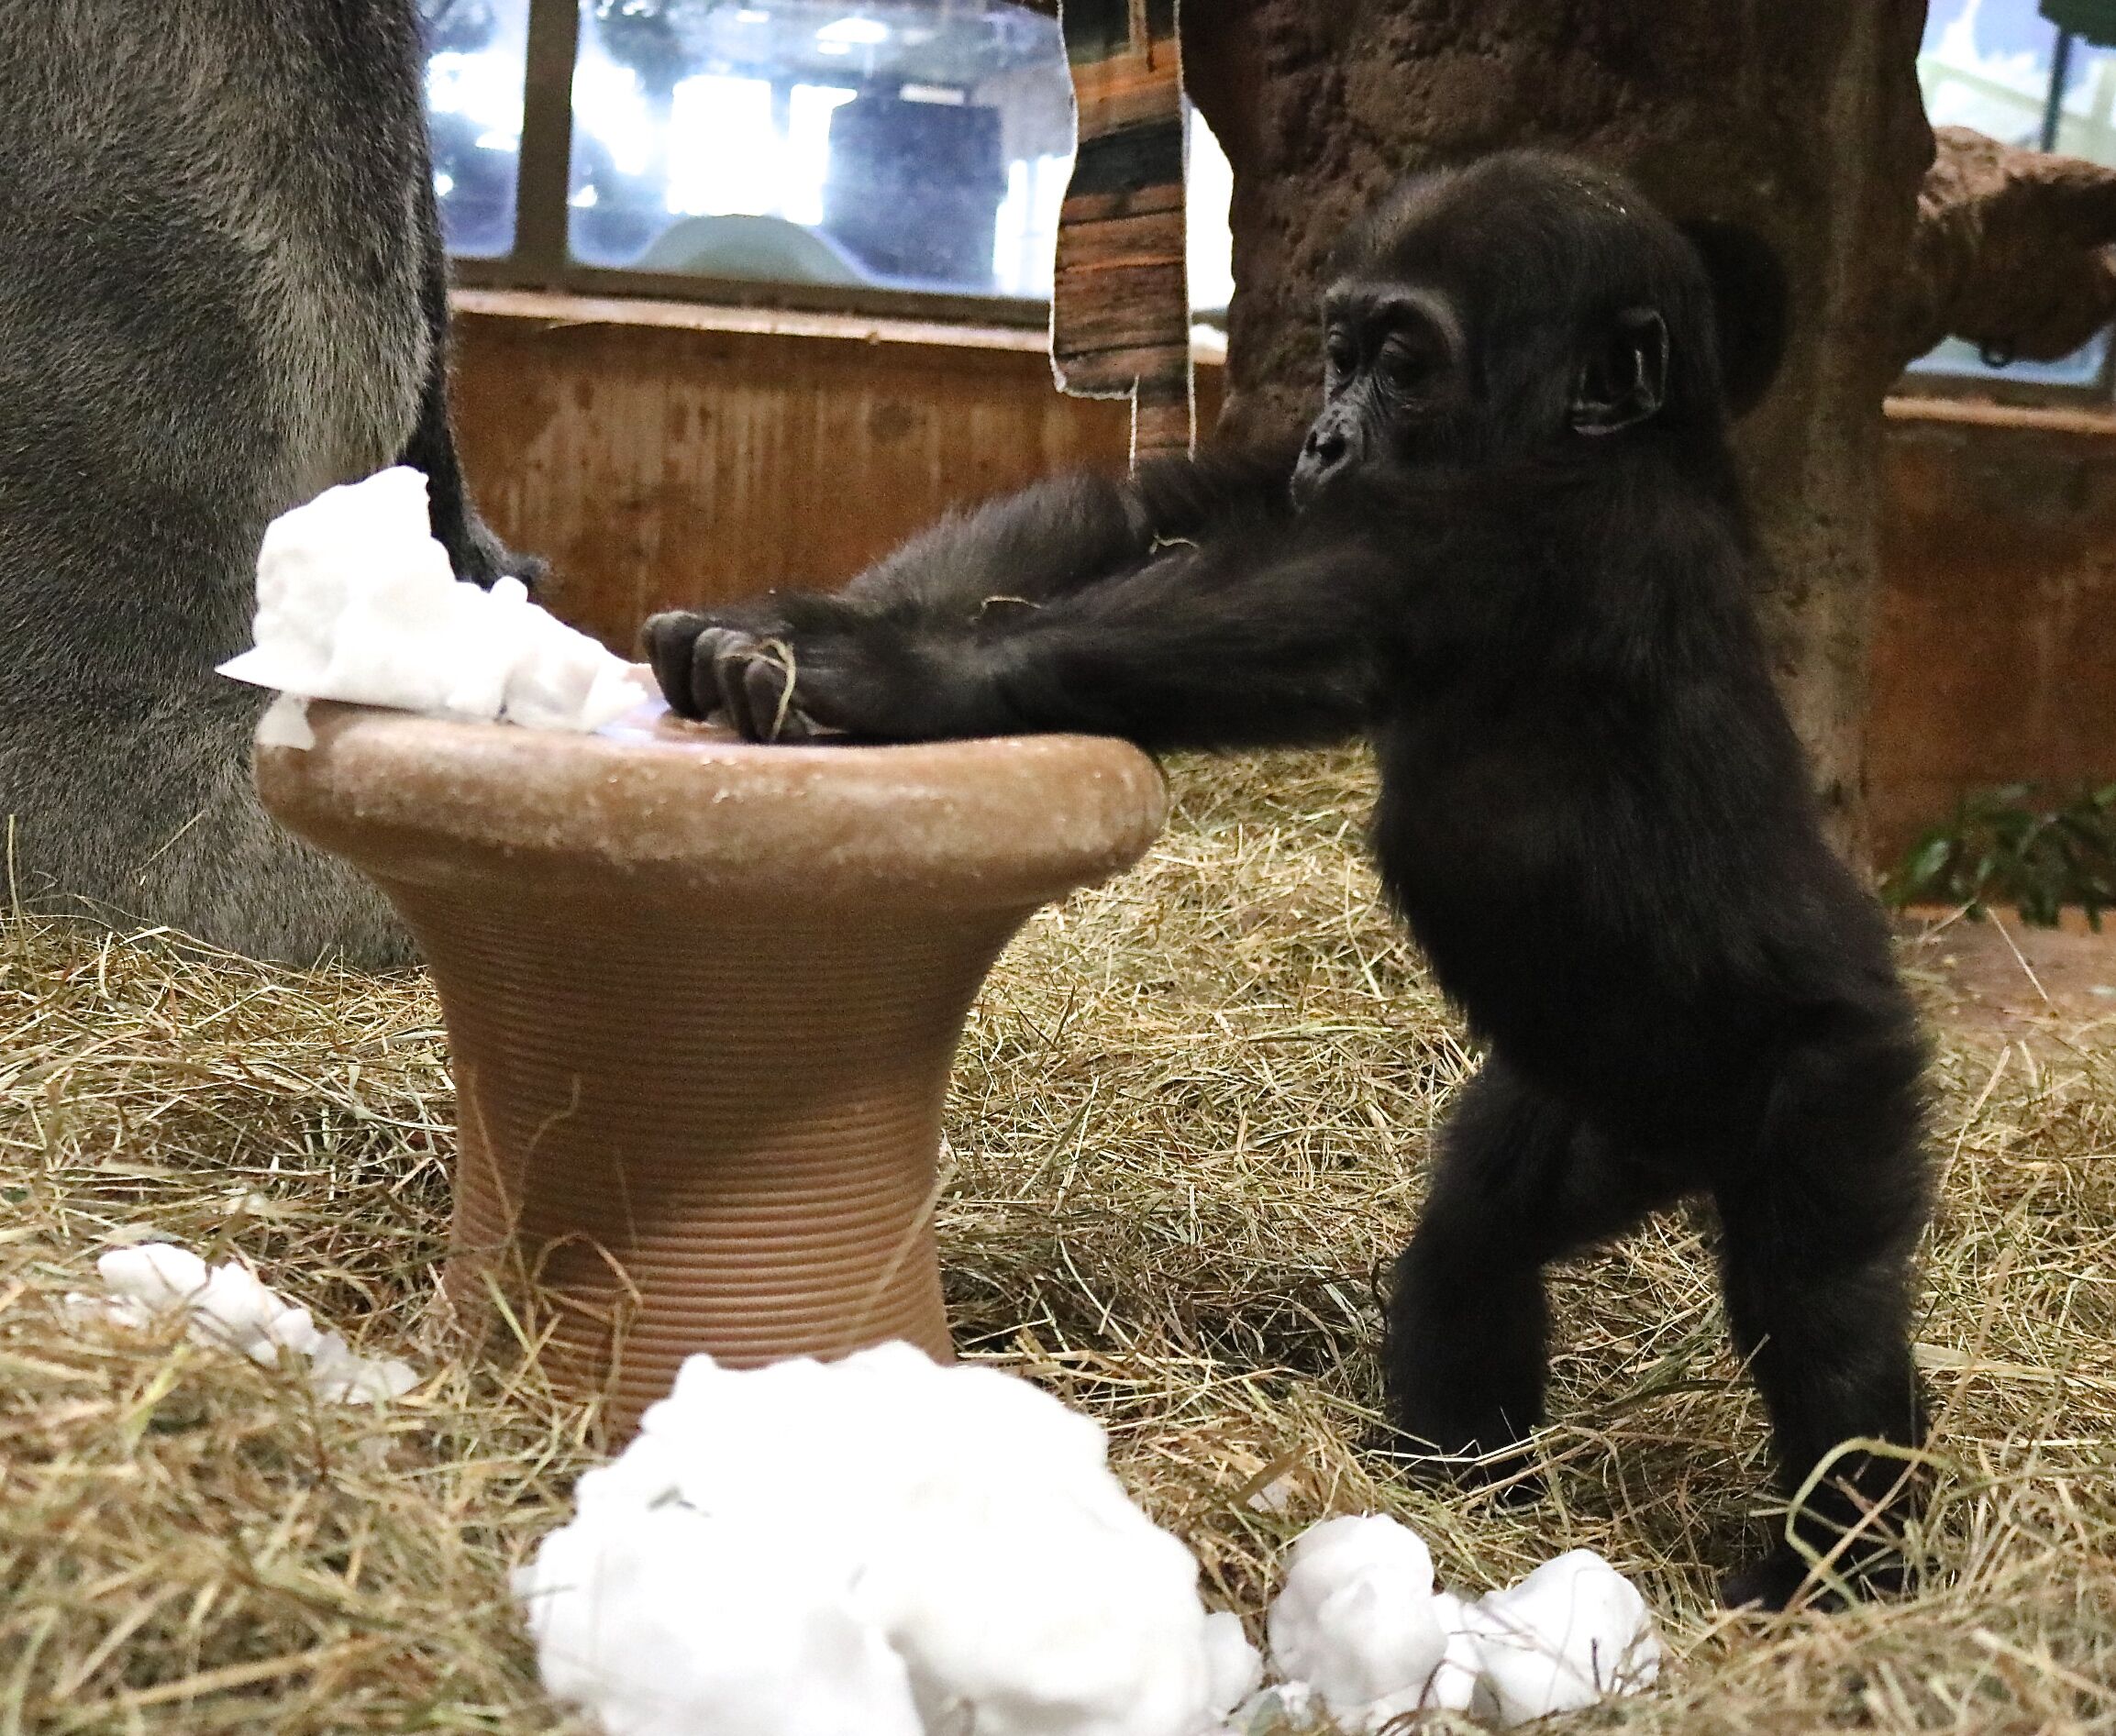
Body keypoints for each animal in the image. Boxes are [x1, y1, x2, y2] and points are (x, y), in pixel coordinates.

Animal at [647, 155, 1938, 1607]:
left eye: (1406, 361)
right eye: (1338, 354)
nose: (1327, 439)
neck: (1608, 444)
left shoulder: (1549, 536)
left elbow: (1286, 626)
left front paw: (889, 673)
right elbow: (1154, 515)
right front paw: (778, 621)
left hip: (1828, 1070)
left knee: (1823, 1312)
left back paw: (1840, 1569)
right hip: (1609, 1110)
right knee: (1482, 1231)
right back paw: (1453, 1478)